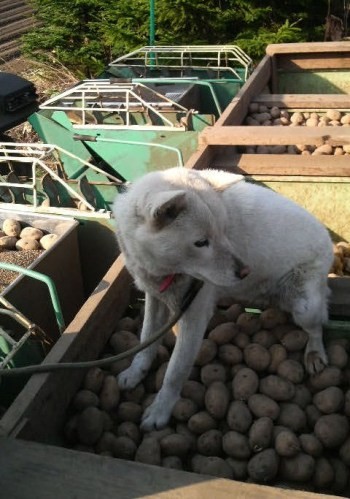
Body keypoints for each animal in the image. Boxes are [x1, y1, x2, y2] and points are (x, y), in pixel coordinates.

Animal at [114, 167, 334, 430]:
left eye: (223, 230)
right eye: (201, 242)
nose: (245, 272)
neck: (166, 272)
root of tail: (328, 240)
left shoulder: (194, 316)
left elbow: (175, 371)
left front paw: (160, 411)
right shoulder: (154, 298)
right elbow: (146, 341)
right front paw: (135, 372)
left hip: (305, 306)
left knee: (317, 327)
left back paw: (314, 353)